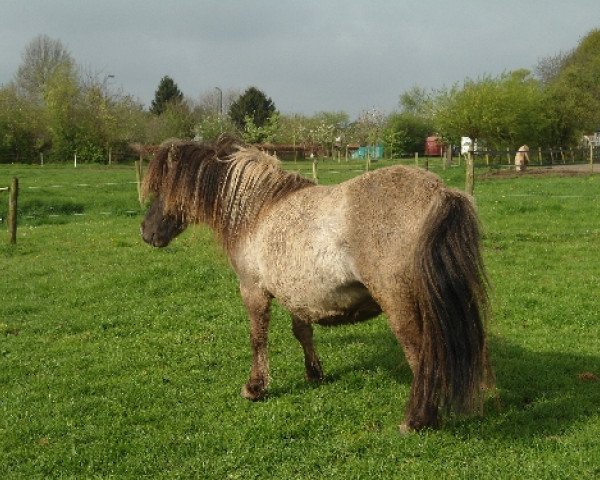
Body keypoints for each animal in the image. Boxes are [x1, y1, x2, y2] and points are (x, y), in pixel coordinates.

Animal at [142, 136, 492, 432]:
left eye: (163, 188)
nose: (146, 232)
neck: (258, 212)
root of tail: (439, 192)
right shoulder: (297, 293)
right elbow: (302, 332)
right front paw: (314, 373)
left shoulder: (253, 290)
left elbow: (258, 339)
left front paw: (255, 387)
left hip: (401, 305)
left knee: (421, 356)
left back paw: (417, 420)